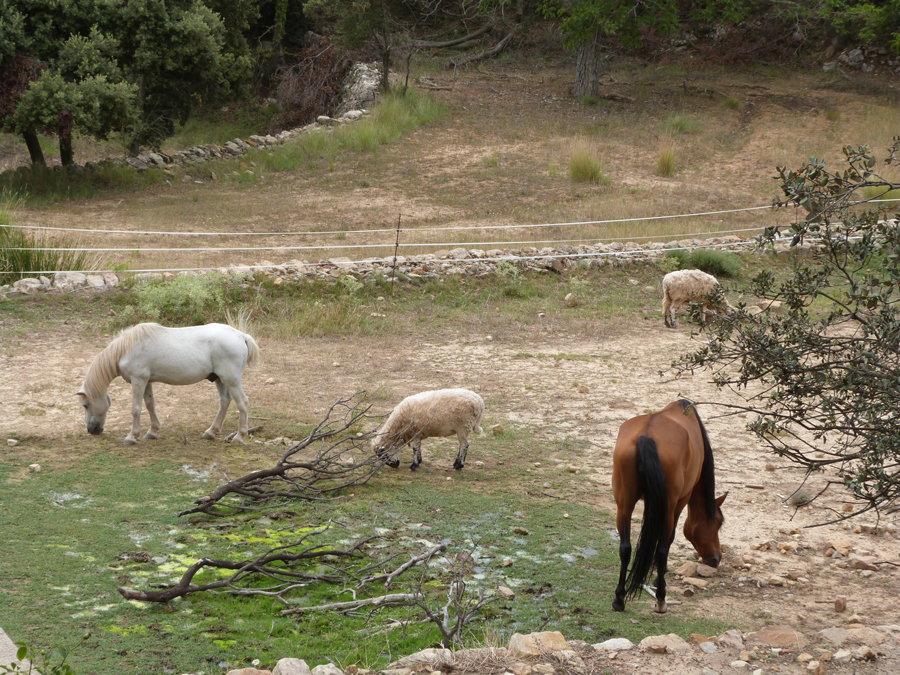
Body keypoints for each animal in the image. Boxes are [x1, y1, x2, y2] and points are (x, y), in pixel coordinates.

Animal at [77, 324, 262, 446]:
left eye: (86, 405)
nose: (91, 430)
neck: (126, 349)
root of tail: (241, 336)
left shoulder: (138, 381)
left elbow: (136, 409)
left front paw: (132, 436)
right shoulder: (146, 382)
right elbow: (150, 405)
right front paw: (152, 432)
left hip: (231, 380)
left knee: (242, 403)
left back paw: (239, 436)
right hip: (219, 379)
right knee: (225, 401)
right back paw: (211, 432)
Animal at [608, 398, 728, 616]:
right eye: (718, 522)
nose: (717, 558)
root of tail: (647, 436)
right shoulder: (680, 502)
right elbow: (667, 542)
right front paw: (658, 578)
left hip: (624, 506)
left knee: (625, 548)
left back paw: (619, 599)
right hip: (669, 507)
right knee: (662, 550)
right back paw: (661, 599)